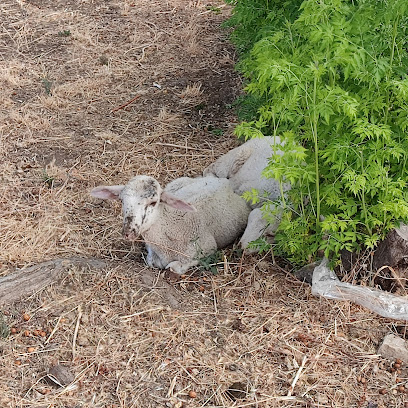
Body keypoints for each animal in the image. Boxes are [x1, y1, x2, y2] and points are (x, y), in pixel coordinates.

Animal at [91, 175, 250, 274]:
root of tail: (223, 181)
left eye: (153, 202)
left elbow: (173, 267)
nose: (128, 232)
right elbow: (151, 261)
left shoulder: (207, 248)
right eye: (122, 200)